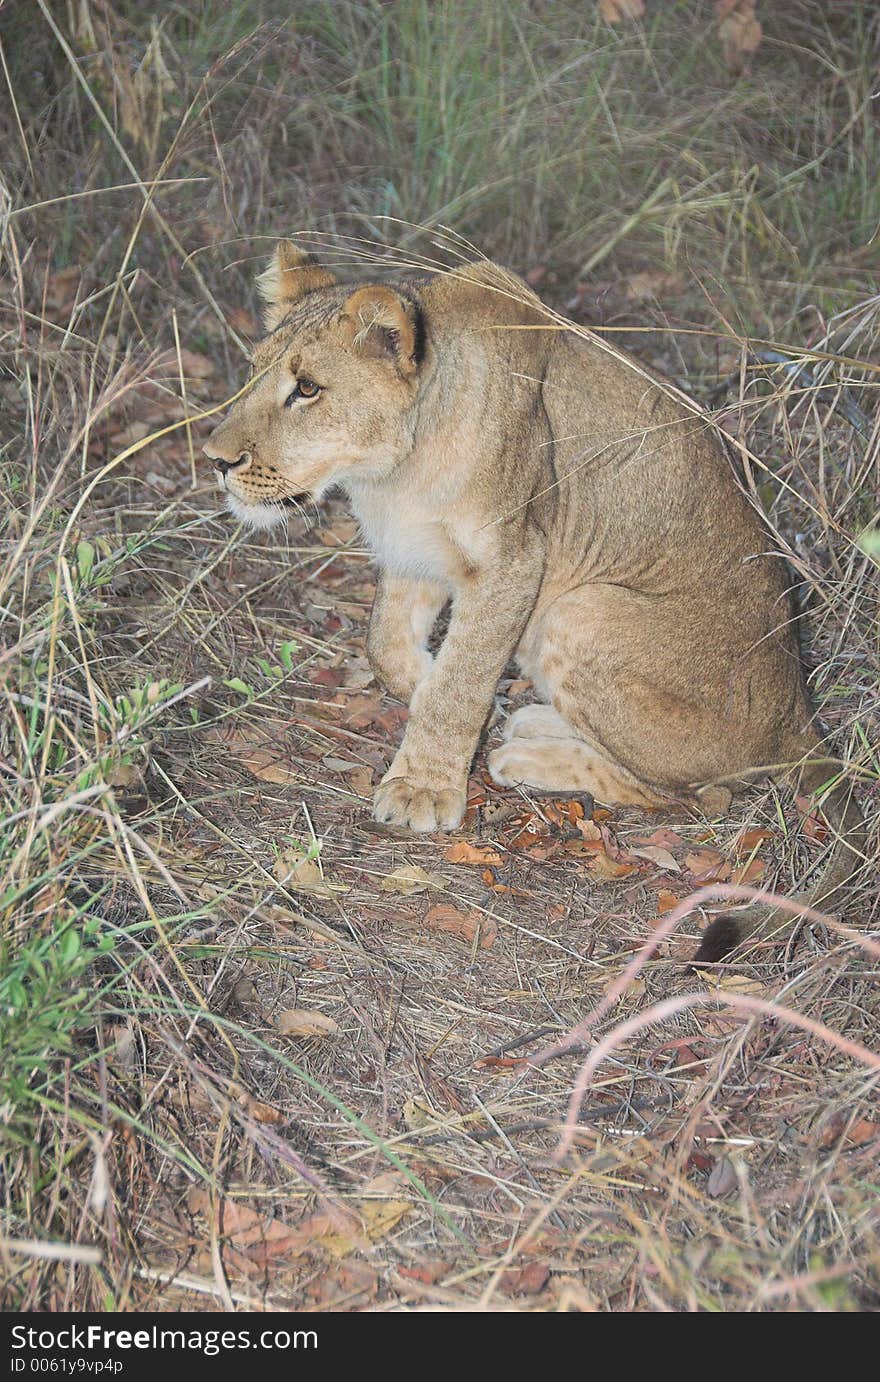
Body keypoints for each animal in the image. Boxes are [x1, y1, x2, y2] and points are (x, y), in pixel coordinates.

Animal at [204, 243, 856, 956]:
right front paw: (447, 705)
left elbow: (458, 679)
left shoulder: (514, 560)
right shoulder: (415, 551)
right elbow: (389, 650)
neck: (392, 472)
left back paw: (526, 756)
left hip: (583, 610)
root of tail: (799, 717)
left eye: (307, 389)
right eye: (254, 374)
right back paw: (531, 721)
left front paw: (422, 786)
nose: (215, 460)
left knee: (696, 797)